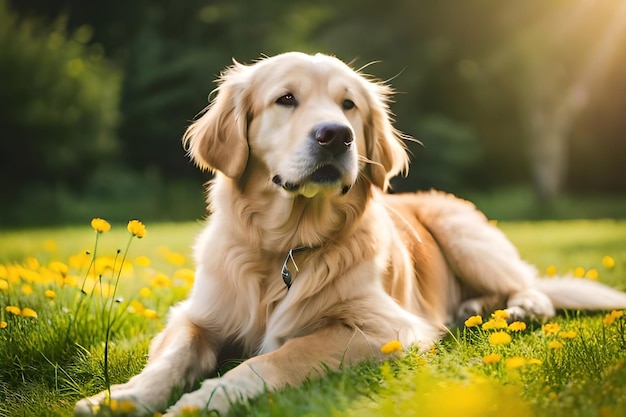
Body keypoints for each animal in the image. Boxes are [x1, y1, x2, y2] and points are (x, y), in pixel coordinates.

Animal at [74, 52, 624, 416]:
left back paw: (517, 309)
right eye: (286, 99)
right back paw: (472, 308)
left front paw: (203, 399)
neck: (284, 249)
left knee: (531, 287)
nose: (335, 135)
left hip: (463, 232)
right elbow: (173, 357)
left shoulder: (387, 328)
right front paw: (122, 397)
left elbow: (274, 358)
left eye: (349, 105)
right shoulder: (195, 316)